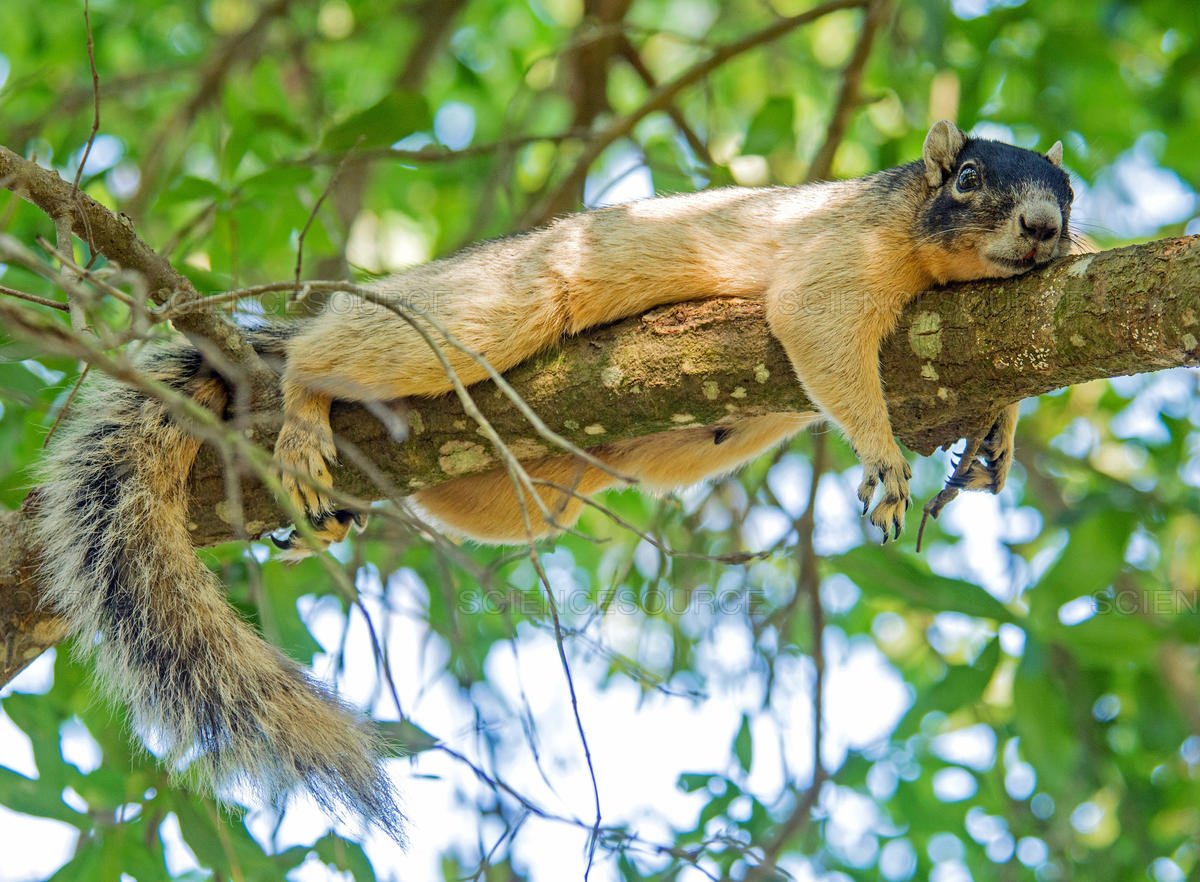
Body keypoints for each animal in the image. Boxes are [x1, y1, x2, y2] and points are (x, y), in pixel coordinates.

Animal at [35, 120, 1070, 840]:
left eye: (1069, 191)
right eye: (969, 179)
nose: (1045, 228)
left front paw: (997, 432)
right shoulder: (838, 255)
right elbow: (816, 325)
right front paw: (886, 462)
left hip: (539, 484)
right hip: (479, 313)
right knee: (339, 350)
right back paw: (302, 411)